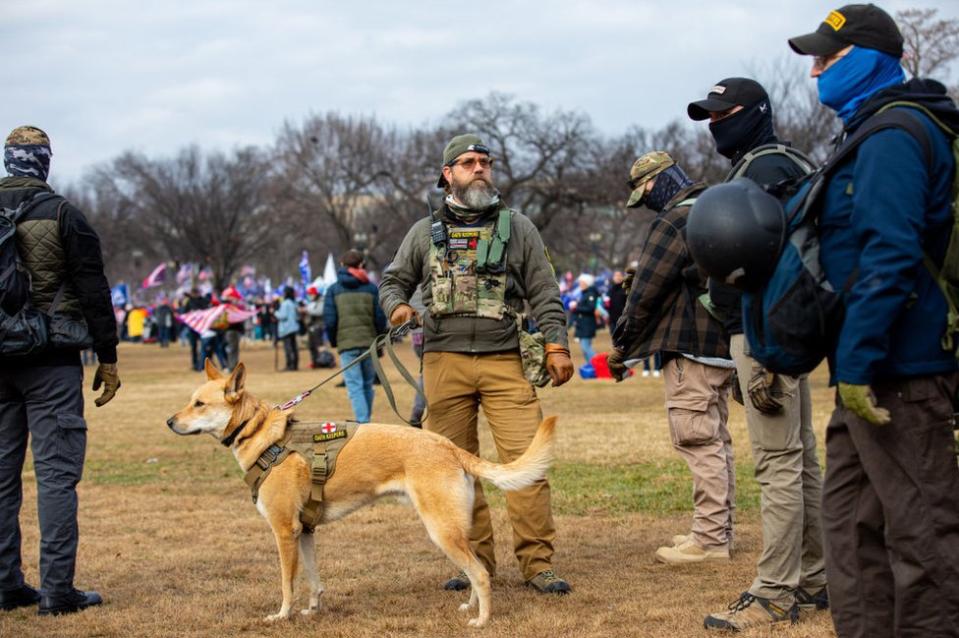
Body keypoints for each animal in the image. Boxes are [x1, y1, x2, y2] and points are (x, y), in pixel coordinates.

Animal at [165, 360, 556, 632]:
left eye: (199, 404)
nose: (169, 422)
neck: (263, 436)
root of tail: (448, 446)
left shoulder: (284, 532)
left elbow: (287, 583)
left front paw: (282, 615)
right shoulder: (305, 532)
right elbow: (313, 579)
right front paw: (312, 610)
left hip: (441, 531)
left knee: (481, 573)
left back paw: (482, 620)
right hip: (455, 531)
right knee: (477, 568)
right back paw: (471, 607)